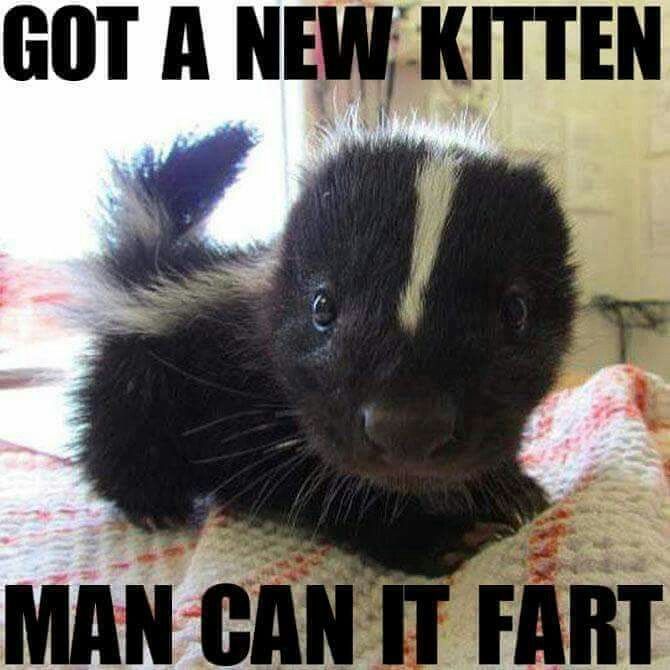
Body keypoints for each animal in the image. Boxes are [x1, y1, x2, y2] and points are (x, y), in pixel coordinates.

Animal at [72, 118, 576, 576]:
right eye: (322, 307)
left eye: (515, 311)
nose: (408, 428)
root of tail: (158, 263)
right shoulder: (263, 412)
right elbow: (320, 485)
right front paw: (433, 538)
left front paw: (509, 489)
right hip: (138, 380)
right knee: (119, 440)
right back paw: (153, 507)